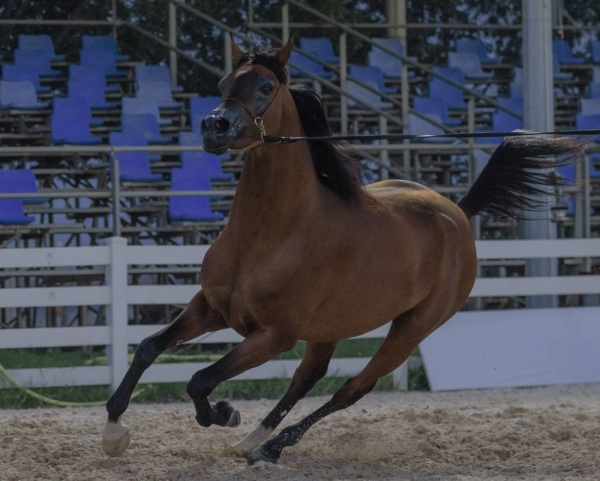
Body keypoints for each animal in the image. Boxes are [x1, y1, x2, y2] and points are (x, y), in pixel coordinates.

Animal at [102, 37, 584, 464]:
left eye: (266, 87)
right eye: (223, 81)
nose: (214, 126)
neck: (268, 236)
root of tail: (458, 213)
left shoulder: (274, 335)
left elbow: (200, 380)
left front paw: (224, 413)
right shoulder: (211, 308)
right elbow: (148, 347)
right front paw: (113, 432)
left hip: (411, 329)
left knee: (350, 388)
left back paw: (268, 449)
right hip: (329, 327)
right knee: (307, 376)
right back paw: (252, 440)